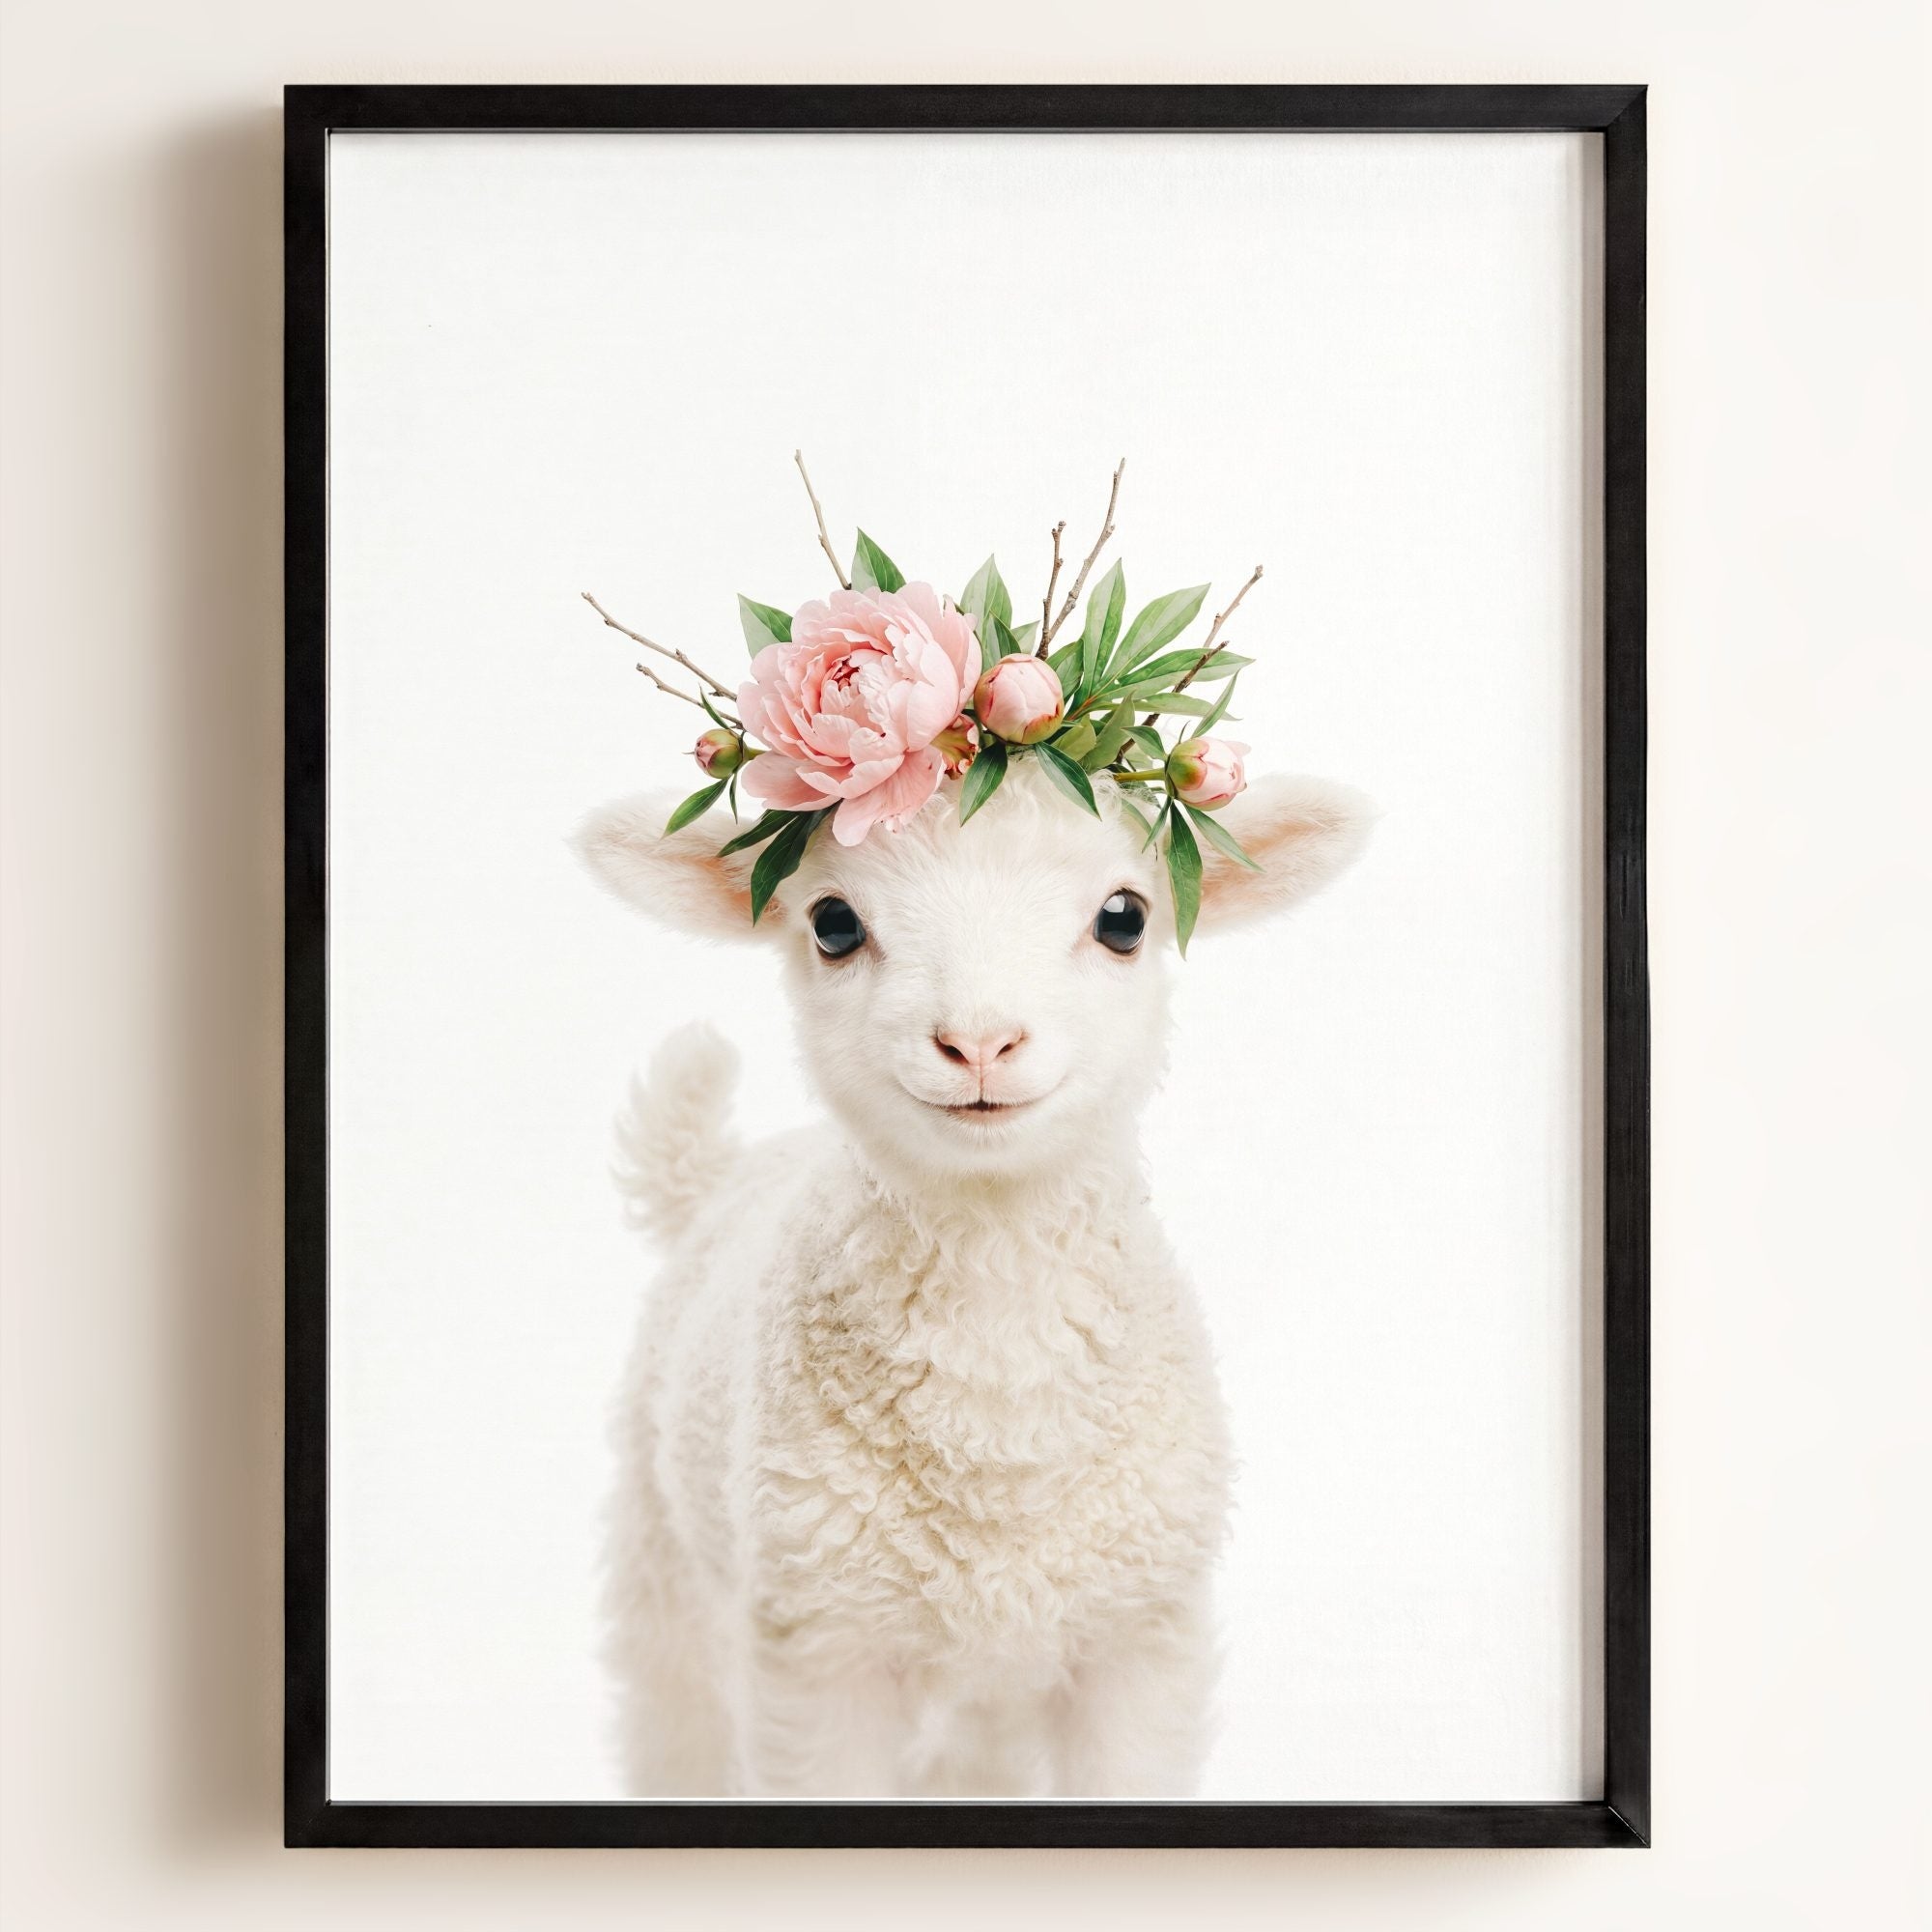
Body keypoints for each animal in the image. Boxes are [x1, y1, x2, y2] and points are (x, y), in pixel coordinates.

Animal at [573, 756, 1373, 1797]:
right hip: (666, 1567)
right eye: (834, 923)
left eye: (1124, 917)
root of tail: (719, 1174)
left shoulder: (1138, 1641)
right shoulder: (817, 1653)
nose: (980, 1042)